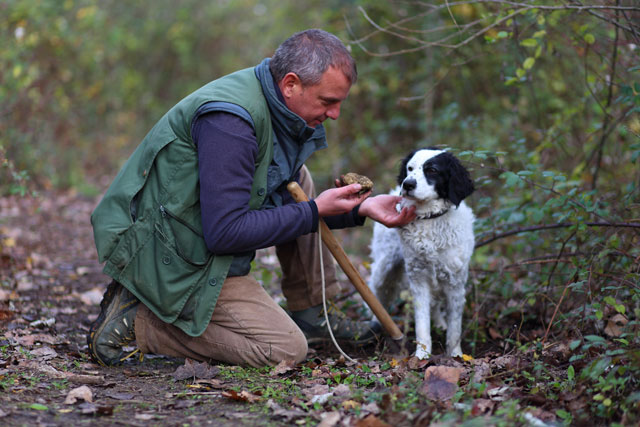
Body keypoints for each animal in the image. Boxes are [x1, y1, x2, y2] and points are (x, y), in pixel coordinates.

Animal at [370, 149, 476, 360]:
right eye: (410, 168)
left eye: (432, 170)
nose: (407, 184)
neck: (430, 220)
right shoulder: (418, 278)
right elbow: (422, 324)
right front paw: (422, 355)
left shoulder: (455, 283)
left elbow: (455, 329)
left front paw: (455, 355)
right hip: (384, 267)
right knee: (375, 291)